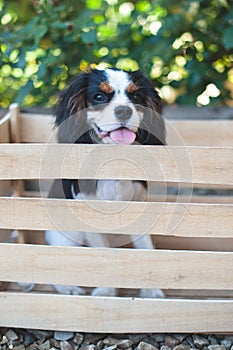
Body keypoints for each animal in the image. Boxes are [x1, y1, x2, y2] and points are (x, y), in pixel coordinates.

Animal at [45, 67, 166, 296]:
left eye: (136, 97)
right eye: (99, 97)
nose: (123, 111)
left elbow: (145, 248)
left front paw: (151, 291)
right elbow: (102, 253)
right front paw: (106, 292)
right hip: (66, 237)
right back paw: (69, 288)